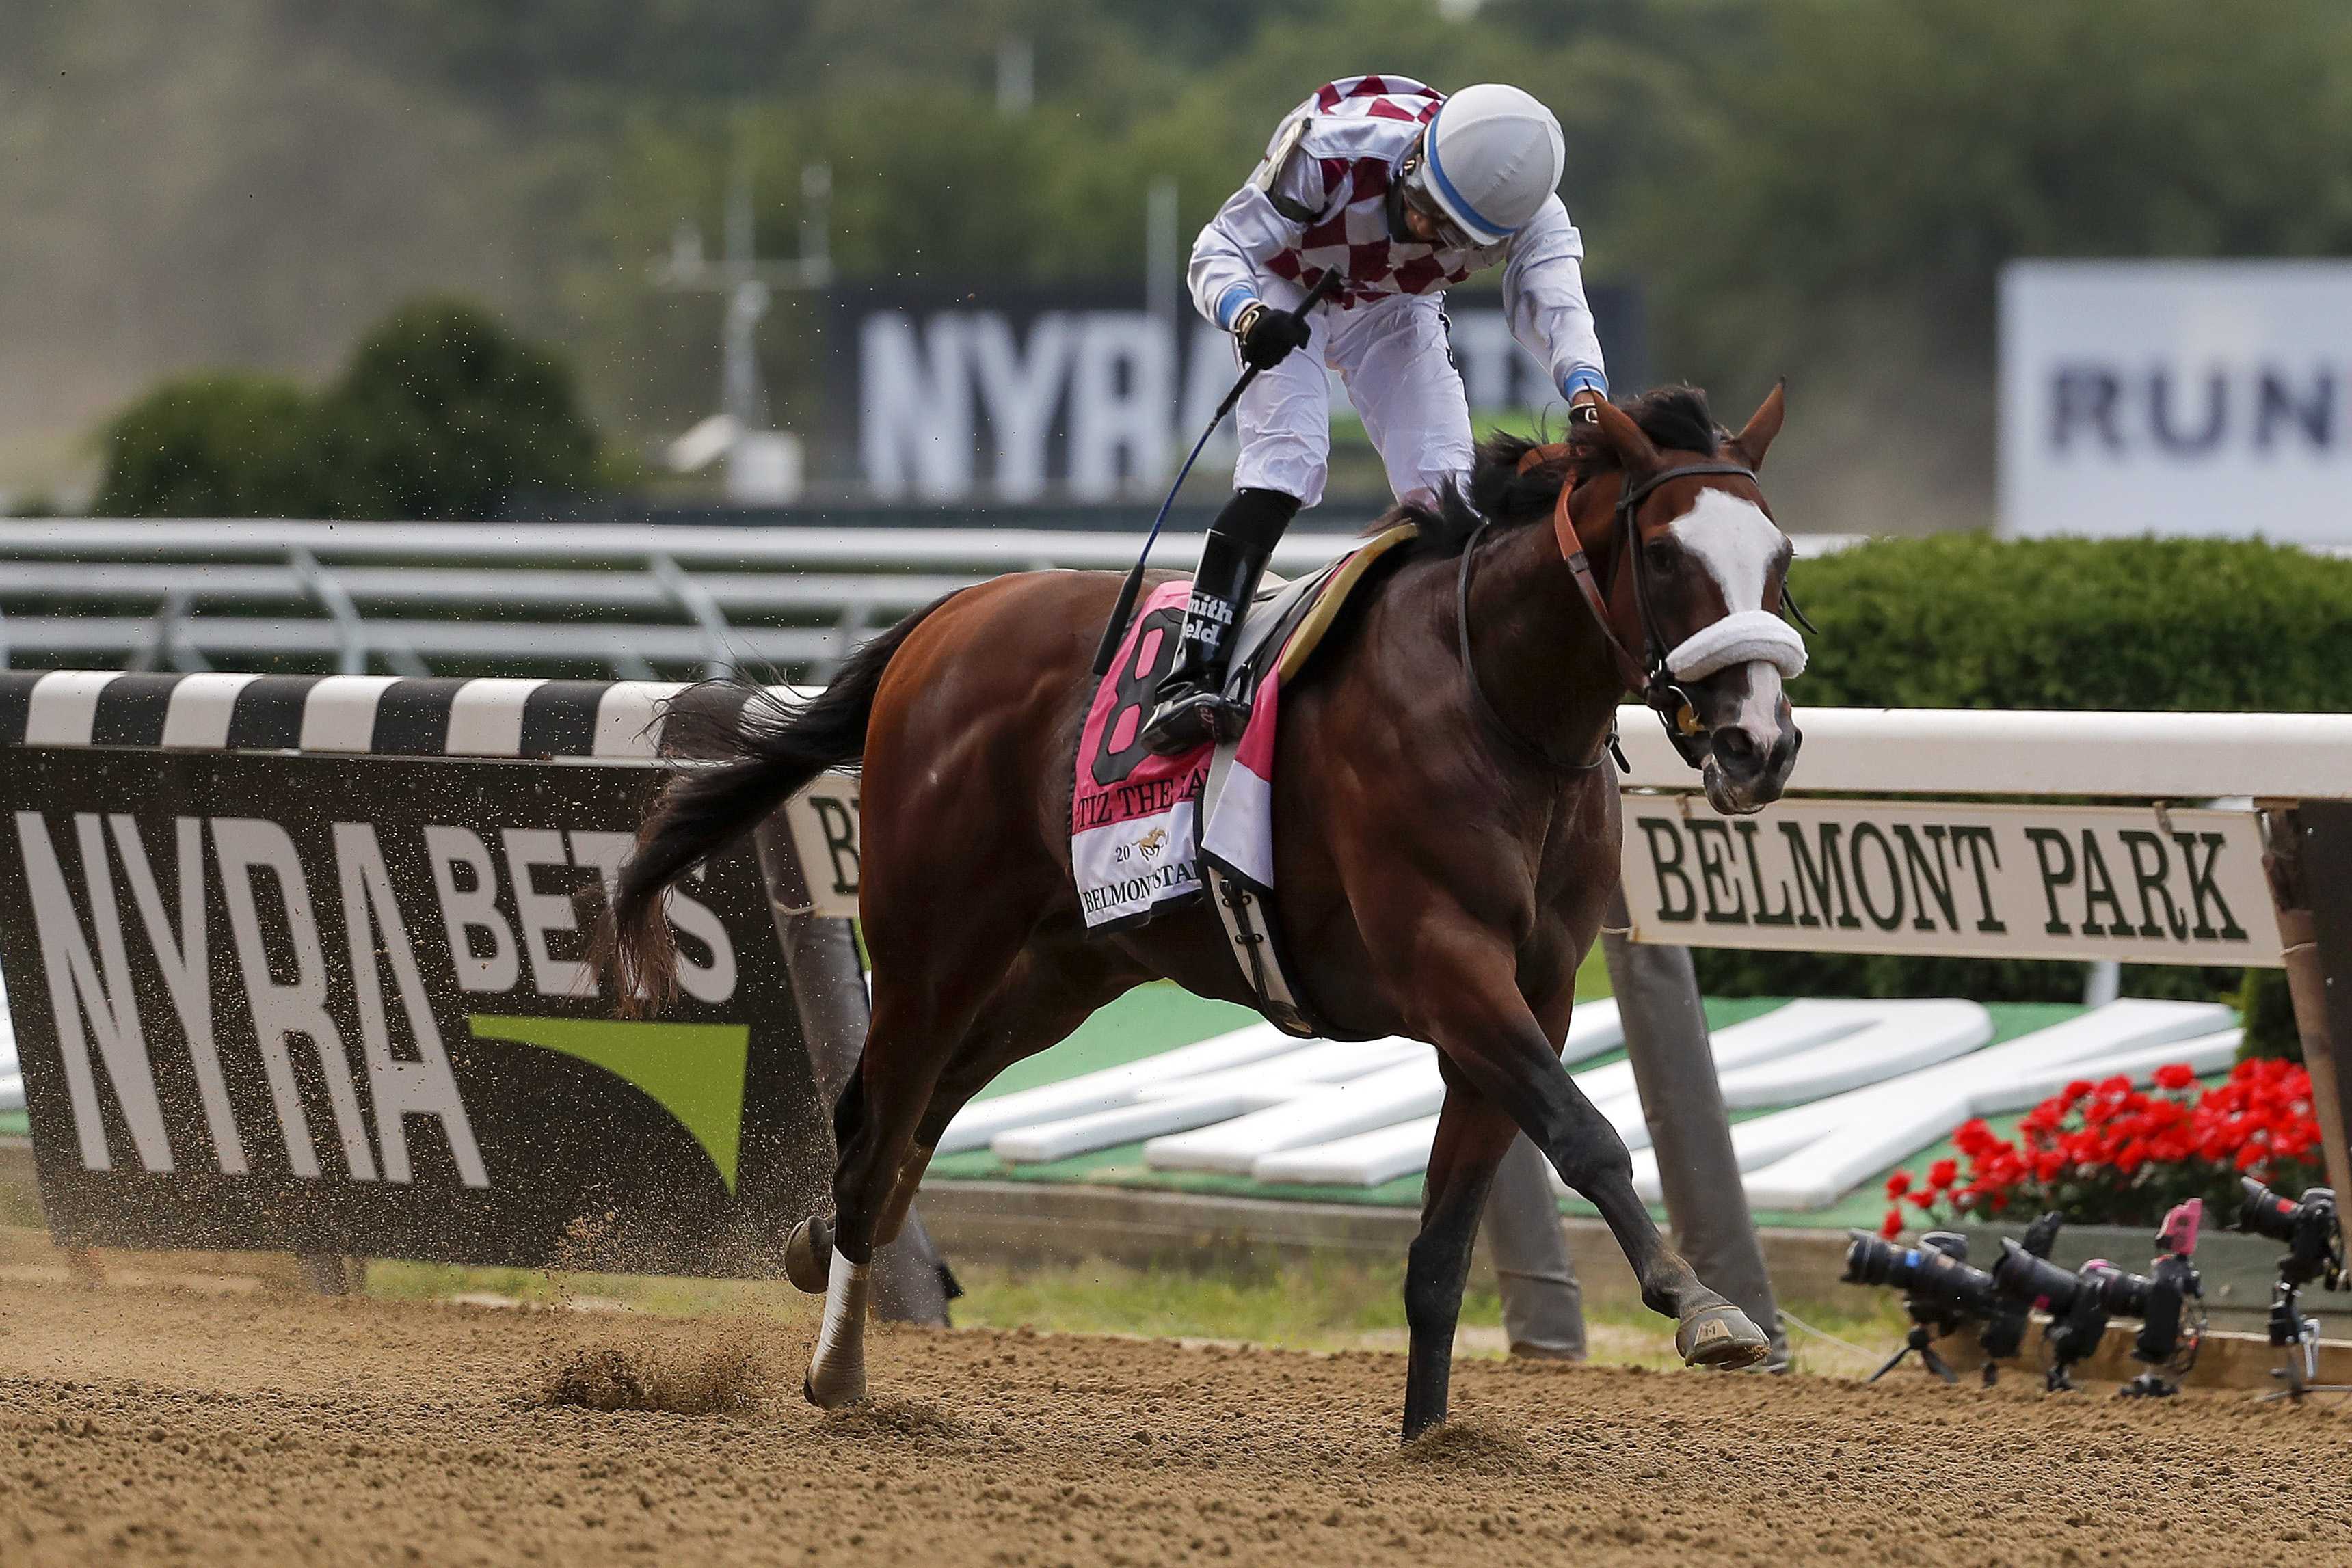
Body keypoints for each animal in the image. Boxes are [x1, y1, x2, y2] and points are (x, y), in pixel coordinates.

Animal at [602, 386, 1797, 1438]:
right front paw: (1706, 1307)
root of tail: (950, 614)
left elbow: (1447, 1240)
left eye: (1779, 559)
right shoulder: (1448, 965)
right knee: (873, 1127)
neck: (1493, 702)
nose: (1763, 744)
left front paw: (1431, 1435)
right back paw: (839, 1368)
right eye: (1666, 555)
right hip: (931, 943)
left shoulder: (1530, 994)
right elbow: (1587, 1134)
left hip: (1062, 969)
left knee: (916, 1113)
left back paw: (815, 1247)